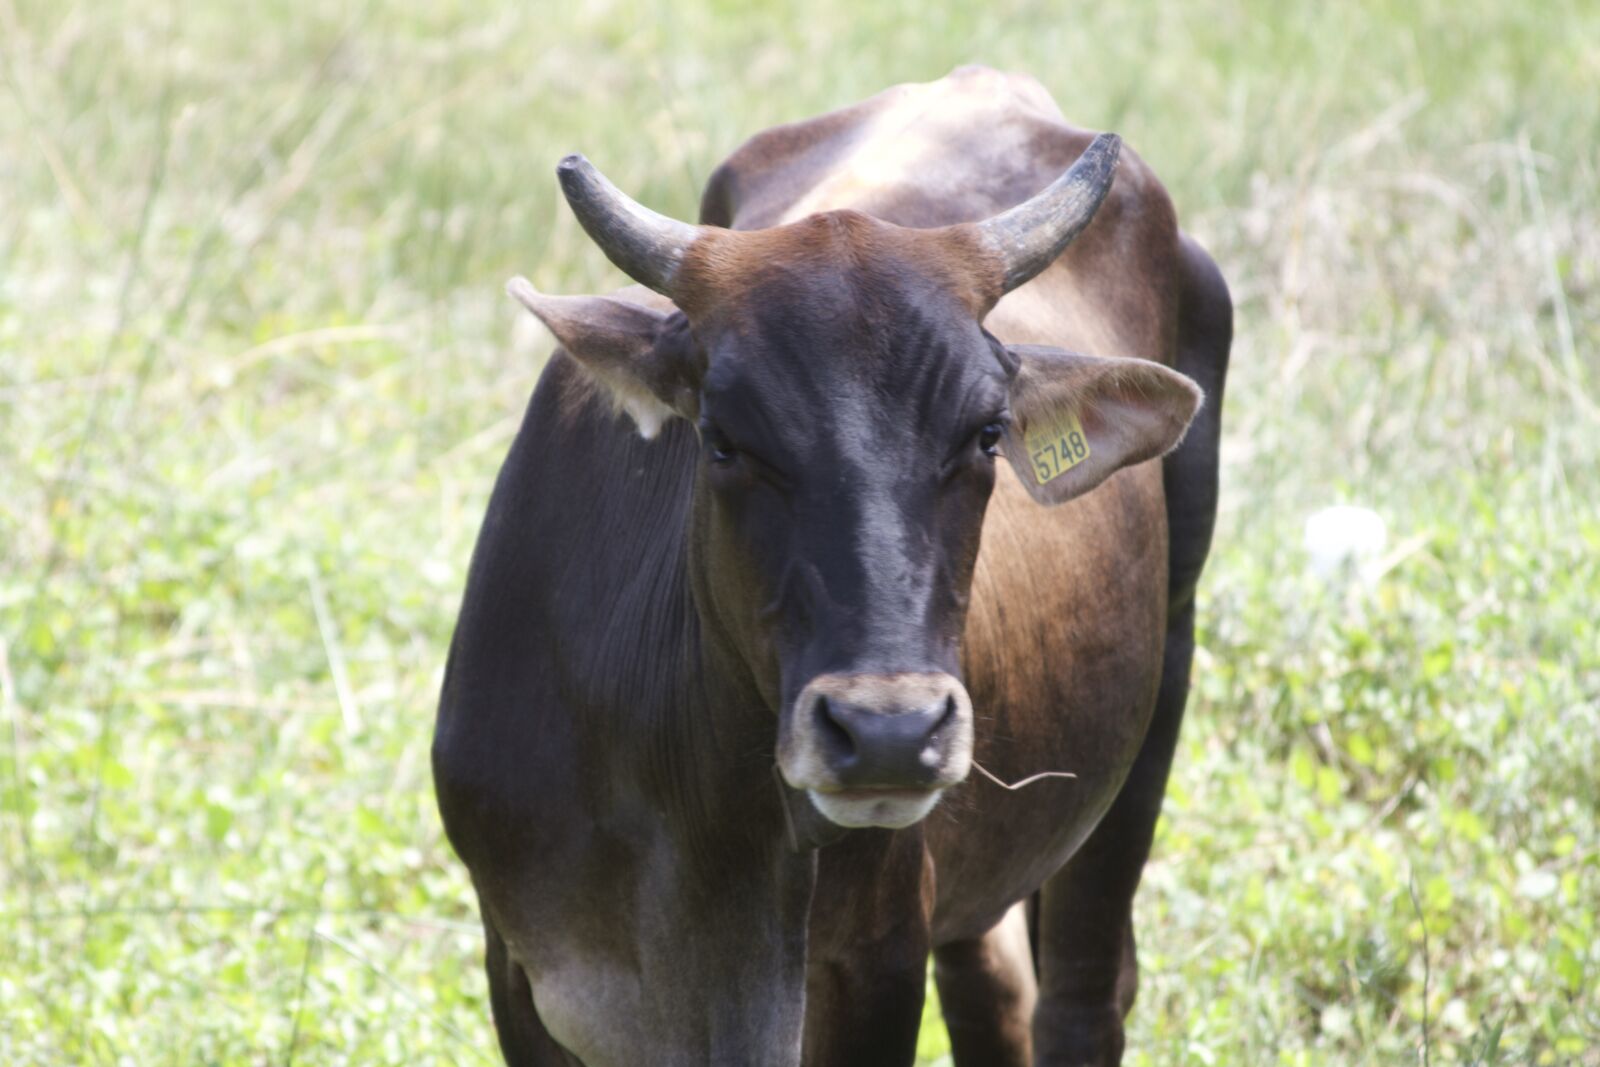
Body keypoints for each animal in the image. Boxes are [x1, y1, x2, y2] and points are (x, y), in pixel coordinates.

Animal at [433, 65, 1231, 1067]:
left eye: (987, 433)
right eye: (723, 439)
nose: (889, 732)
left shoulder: (873, 958)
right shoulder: (518, 967)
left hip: (1162, 677)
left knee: (1084, 995)